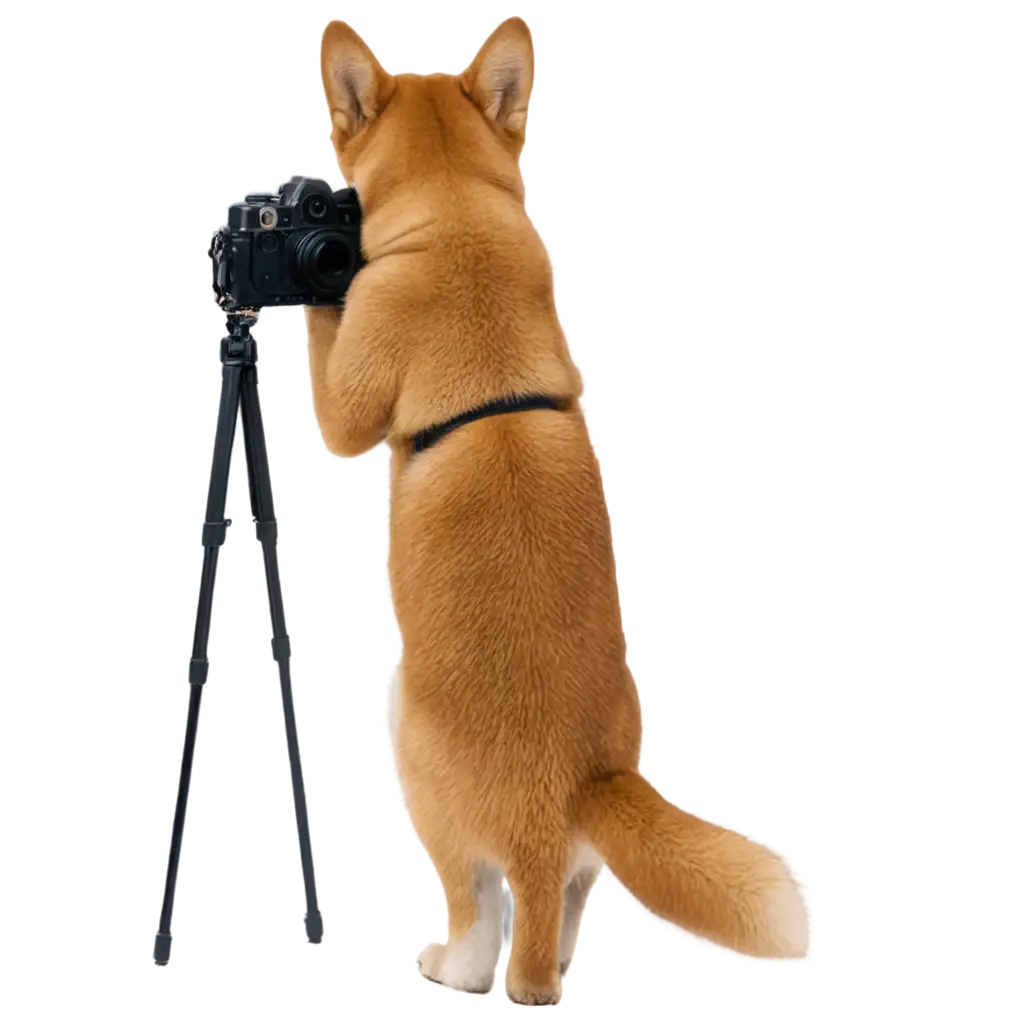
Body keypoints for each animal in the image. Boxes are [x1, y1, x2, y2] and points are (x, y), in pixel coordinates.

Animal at [307, 18, 811, 1007]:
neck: (456, 208)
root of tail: (568, 789)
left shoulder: (347, 407)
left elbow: (329, 358)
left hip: (406, 744)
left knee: (479, 913)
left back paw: (454, 965)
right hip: (577, 850)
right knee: (561, 915)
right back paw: (554, 966)